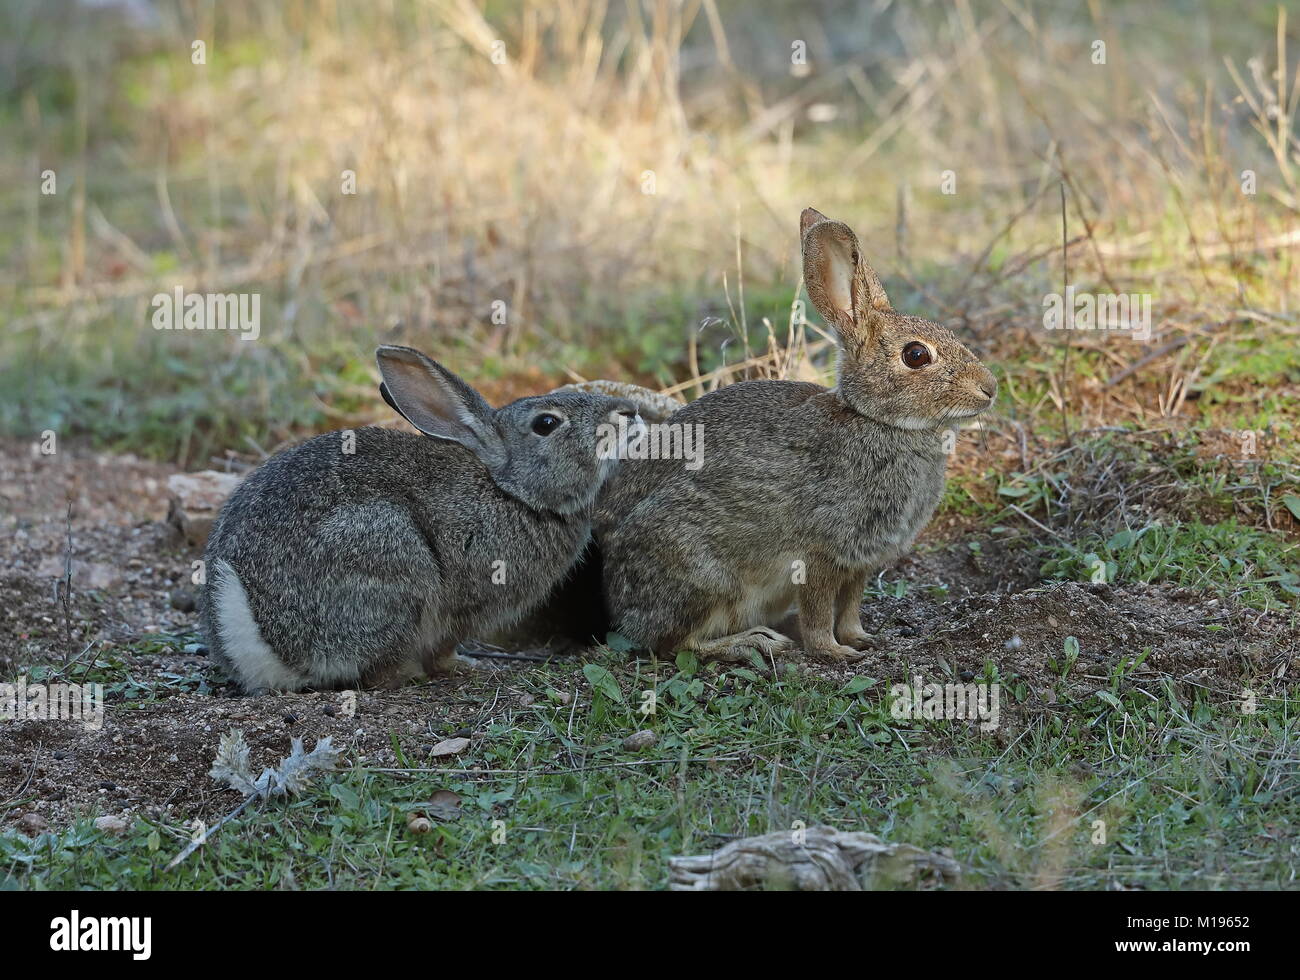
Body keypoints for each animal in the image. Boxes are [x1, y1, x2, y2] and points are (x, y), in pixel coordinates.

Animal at [199, 345, 643, 692]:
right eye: (546, 423)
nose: (628, 413)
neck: (511, 489)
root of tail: (268, 643)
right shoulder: (464, 603)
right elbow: (444, 646)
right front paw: (467, 667)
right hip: (389, 555)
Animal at [592, 207, 998, 664]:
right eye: (916, 355)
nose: (989, 387)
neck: (875, 420)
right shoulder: (821, 553)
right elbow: (819, 612)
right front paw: (835, 652)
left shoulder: (860, 561)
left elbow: (851, 605)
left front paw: (862, 639)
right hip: (702, 573)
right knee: (676, 642)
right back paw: (755, 641)